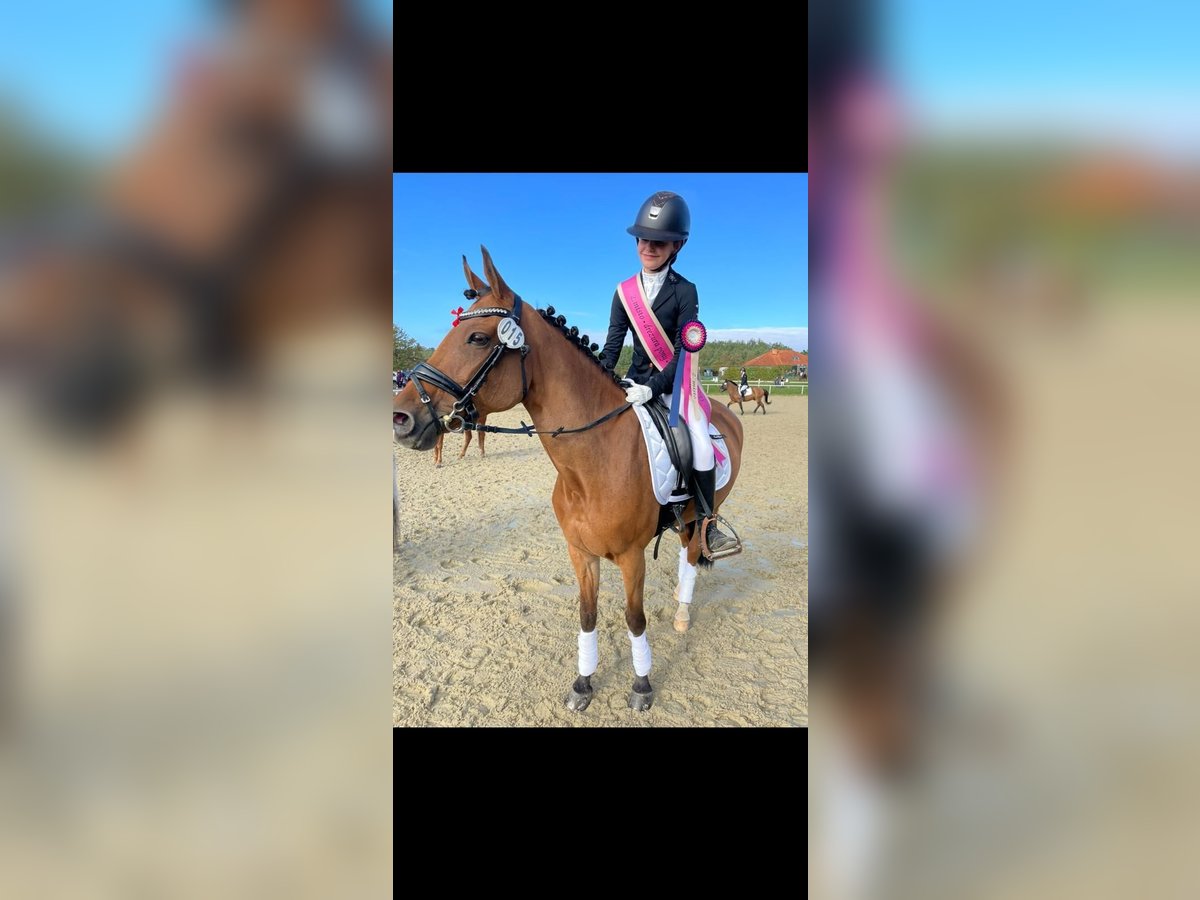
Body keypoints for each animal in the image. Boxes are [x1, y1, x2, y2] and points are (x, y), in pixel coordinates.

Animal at [393, 247, 745, 713]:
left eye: (478, 339)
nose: (401, 418)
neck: (590, 463)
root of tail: (721, 410)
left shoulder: (631, 556)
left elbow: (634, 619)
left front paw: (642, 685)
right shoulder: (581, 552)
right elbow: (587, 614)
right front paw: (583, 683)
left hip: (703, 511)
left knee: (692, 551)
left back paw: (683, 612)